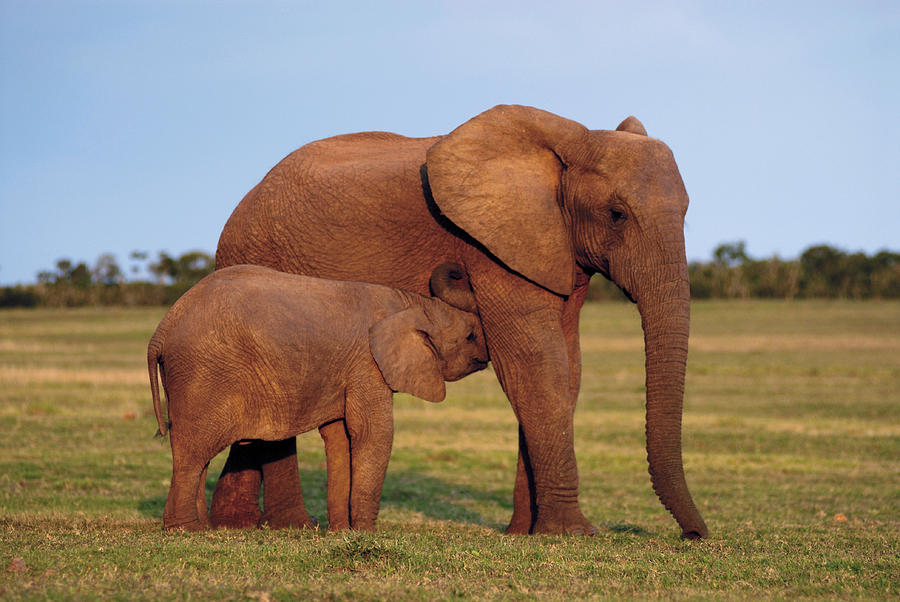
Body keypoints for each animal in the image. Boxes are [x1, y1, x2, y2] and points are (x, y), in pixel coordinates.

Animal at [149, 262, 488, 528]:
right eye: (470, 336)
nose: (487, 357)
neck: (413, 304)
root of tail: (162, 329)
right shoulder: (367, 364)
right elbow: (372, 433)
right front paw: (366, 533)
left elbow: (340, 437)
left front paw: (341, 532)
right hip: (202, 372)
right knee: (193, 452)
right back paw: (187, 530)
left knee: (196, 454)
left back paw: (202, 526)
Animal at [209, 105, 704, 536]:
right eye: (617, 214)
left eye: (686, 212)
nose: (694, 535)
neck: (570, 142)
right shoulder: (489, 246)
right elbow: (535, 363)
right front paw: (571, 534)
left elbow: (567, 369)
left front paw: (524, 534)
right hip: (258, 258)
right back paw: (287, 526)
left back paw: (232, 525)